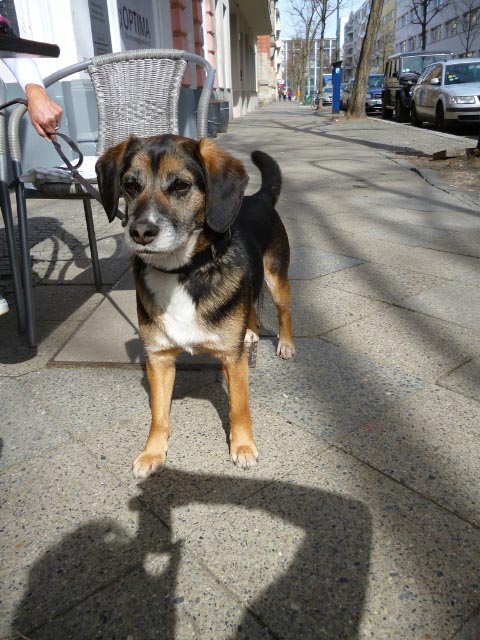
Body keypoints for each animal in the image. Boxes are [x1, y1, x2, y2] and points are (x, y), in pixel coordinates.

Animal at [96, 134, 295, 478]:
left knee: (284, 310)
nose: (140, 232)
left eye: (181, 186)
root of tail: (258, 198)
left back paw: (285, 343)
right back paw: (250, 332)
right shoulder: (159, 358)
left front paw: (243, 447)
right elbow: (158, 415)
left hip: (276, 279)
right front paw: (152, 452)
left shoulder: (232, 360)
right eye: (130, 185)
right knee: (252, 307)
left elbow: (239, 407)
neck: (181, 271)